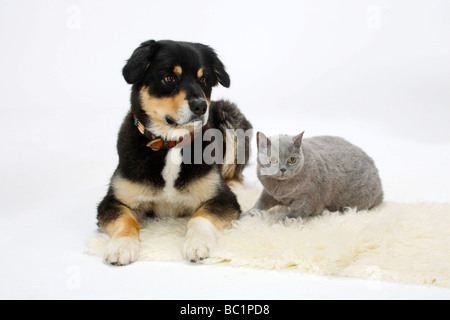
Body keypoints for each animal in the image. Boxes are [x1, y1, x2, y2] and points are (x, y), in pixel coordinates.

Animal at [97, 39, 253, 264]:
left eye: (203, 78)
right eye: (169, 78)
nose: (201, 106)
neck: (171, 143)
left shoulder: (223, 198)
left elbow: (200, 217)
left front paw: (197, 244)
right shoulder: (114, 200)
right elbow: (125, 221)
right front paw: (121, 246)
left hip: (230, 117)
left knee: (236, 174)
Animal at [246, 131, 384, 219]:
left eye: (292, 159)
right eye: (273, 159)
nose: (283, 169)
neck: (282, 189)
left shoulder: (309, 197)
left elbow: (295, 213)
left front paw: (279, 222)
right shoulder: (268, 193)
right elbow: (259, 204)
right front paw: (246, 214)